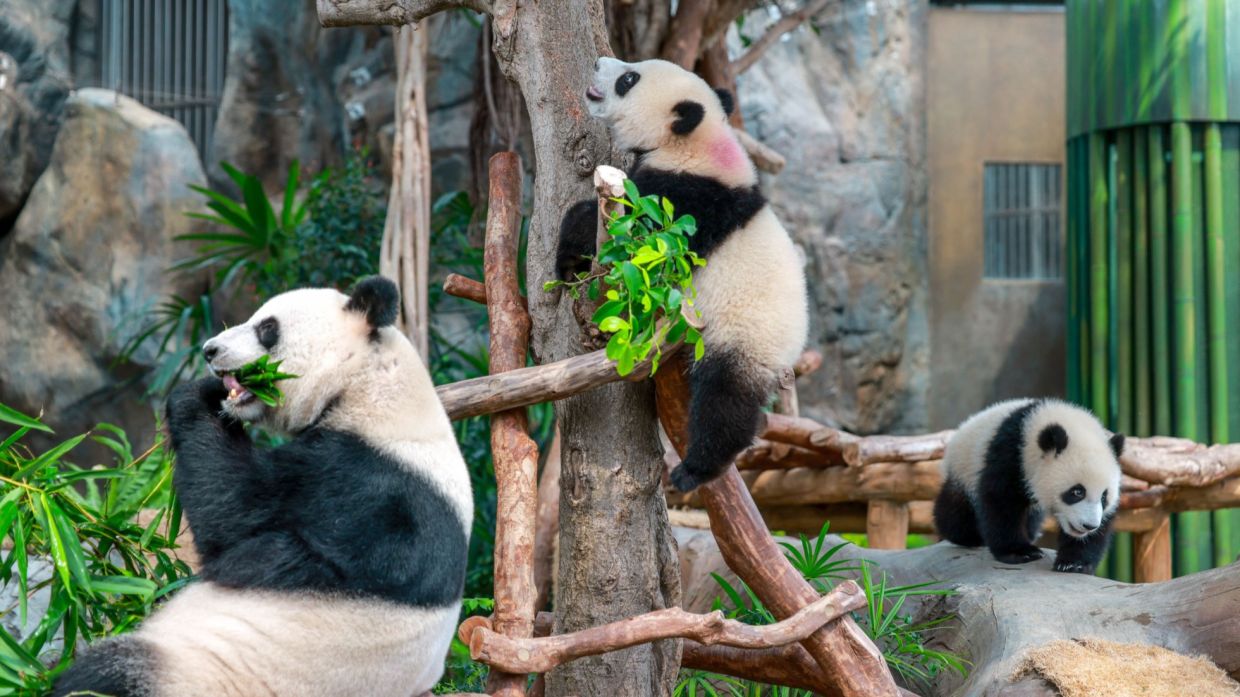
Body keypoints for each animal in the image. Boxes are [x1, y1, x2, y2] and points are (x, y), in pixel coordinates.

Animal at [53, 277, 472, 697]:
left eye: (267, 328)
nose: (209, 350)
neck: (370, 386)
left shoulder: (372, 488)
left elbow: (237, 515)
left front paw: (198, 394)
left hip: (196, 672)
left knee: (106, 674)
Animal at [556, 57, 809, 492]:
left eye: (629, 79)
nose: (599, 62)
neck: (698, 144)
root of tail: (796, 342)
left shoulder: (686, 202)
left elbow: (637, 236)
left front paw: (567, 253)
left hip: (744, 335)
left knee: (724, 403)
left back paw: (696, 468)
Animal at [932, 398, 1124, 574]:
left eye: (1104, 497)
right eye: (1077, 492)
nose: (1089, 526)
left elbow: (1101, 527)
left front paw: (1074, 563)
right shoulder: (1011, 453)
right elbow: (1001, 501)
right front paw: (1020, 553)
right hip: (964, 469)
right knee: (956, 510)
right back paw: (968, 535)